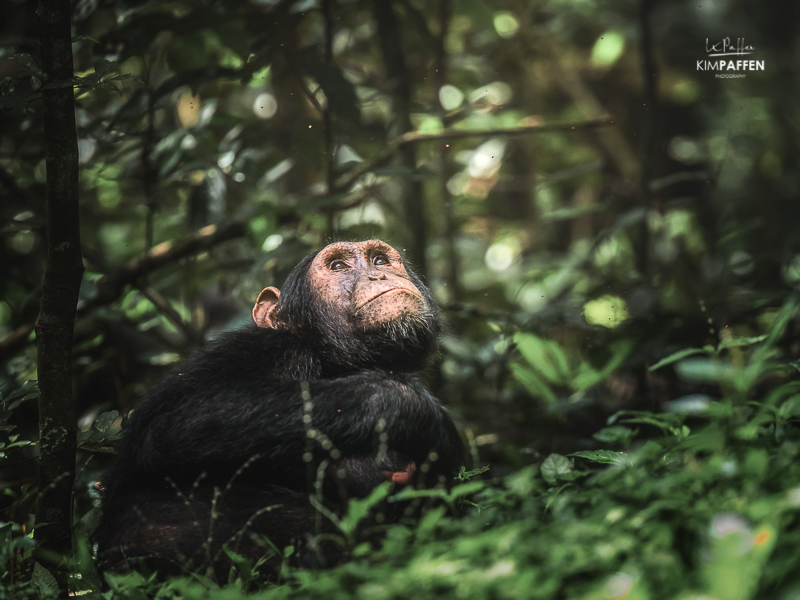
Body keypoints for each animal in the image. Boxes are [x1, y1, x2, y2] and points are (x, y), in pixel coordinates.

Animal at [95, 241, 462, 580]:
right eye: (339, 266)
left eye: (380, 259)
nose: (378, 274)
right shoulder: (271, 350)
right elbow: (181, 420)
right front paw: (416, 415)